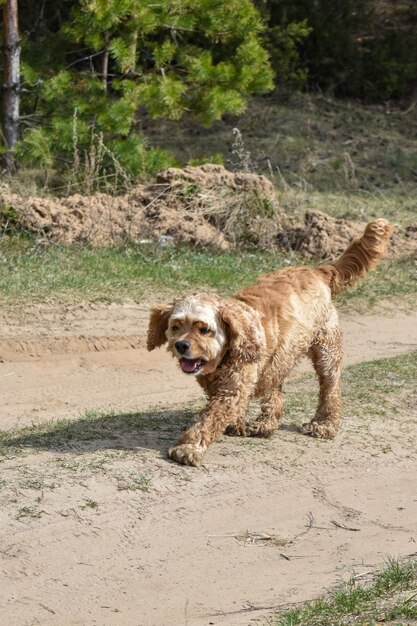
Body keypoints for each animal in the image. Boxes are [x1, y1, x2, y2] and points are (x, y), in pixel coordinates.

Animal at [148, 219, 392, 464]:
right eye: (176, 326)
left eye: (204, 329)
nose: (181, 345)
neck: (228, 351)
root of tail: (317, 270)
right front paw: (237, 424)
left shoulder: (232, 390)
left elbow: (210, 417)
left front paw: (189, 448)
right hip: (281, 357)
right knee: (275, 391)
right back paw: (265, 424)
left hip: (326, 351)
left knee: (330, 388)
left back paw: (324, 425)